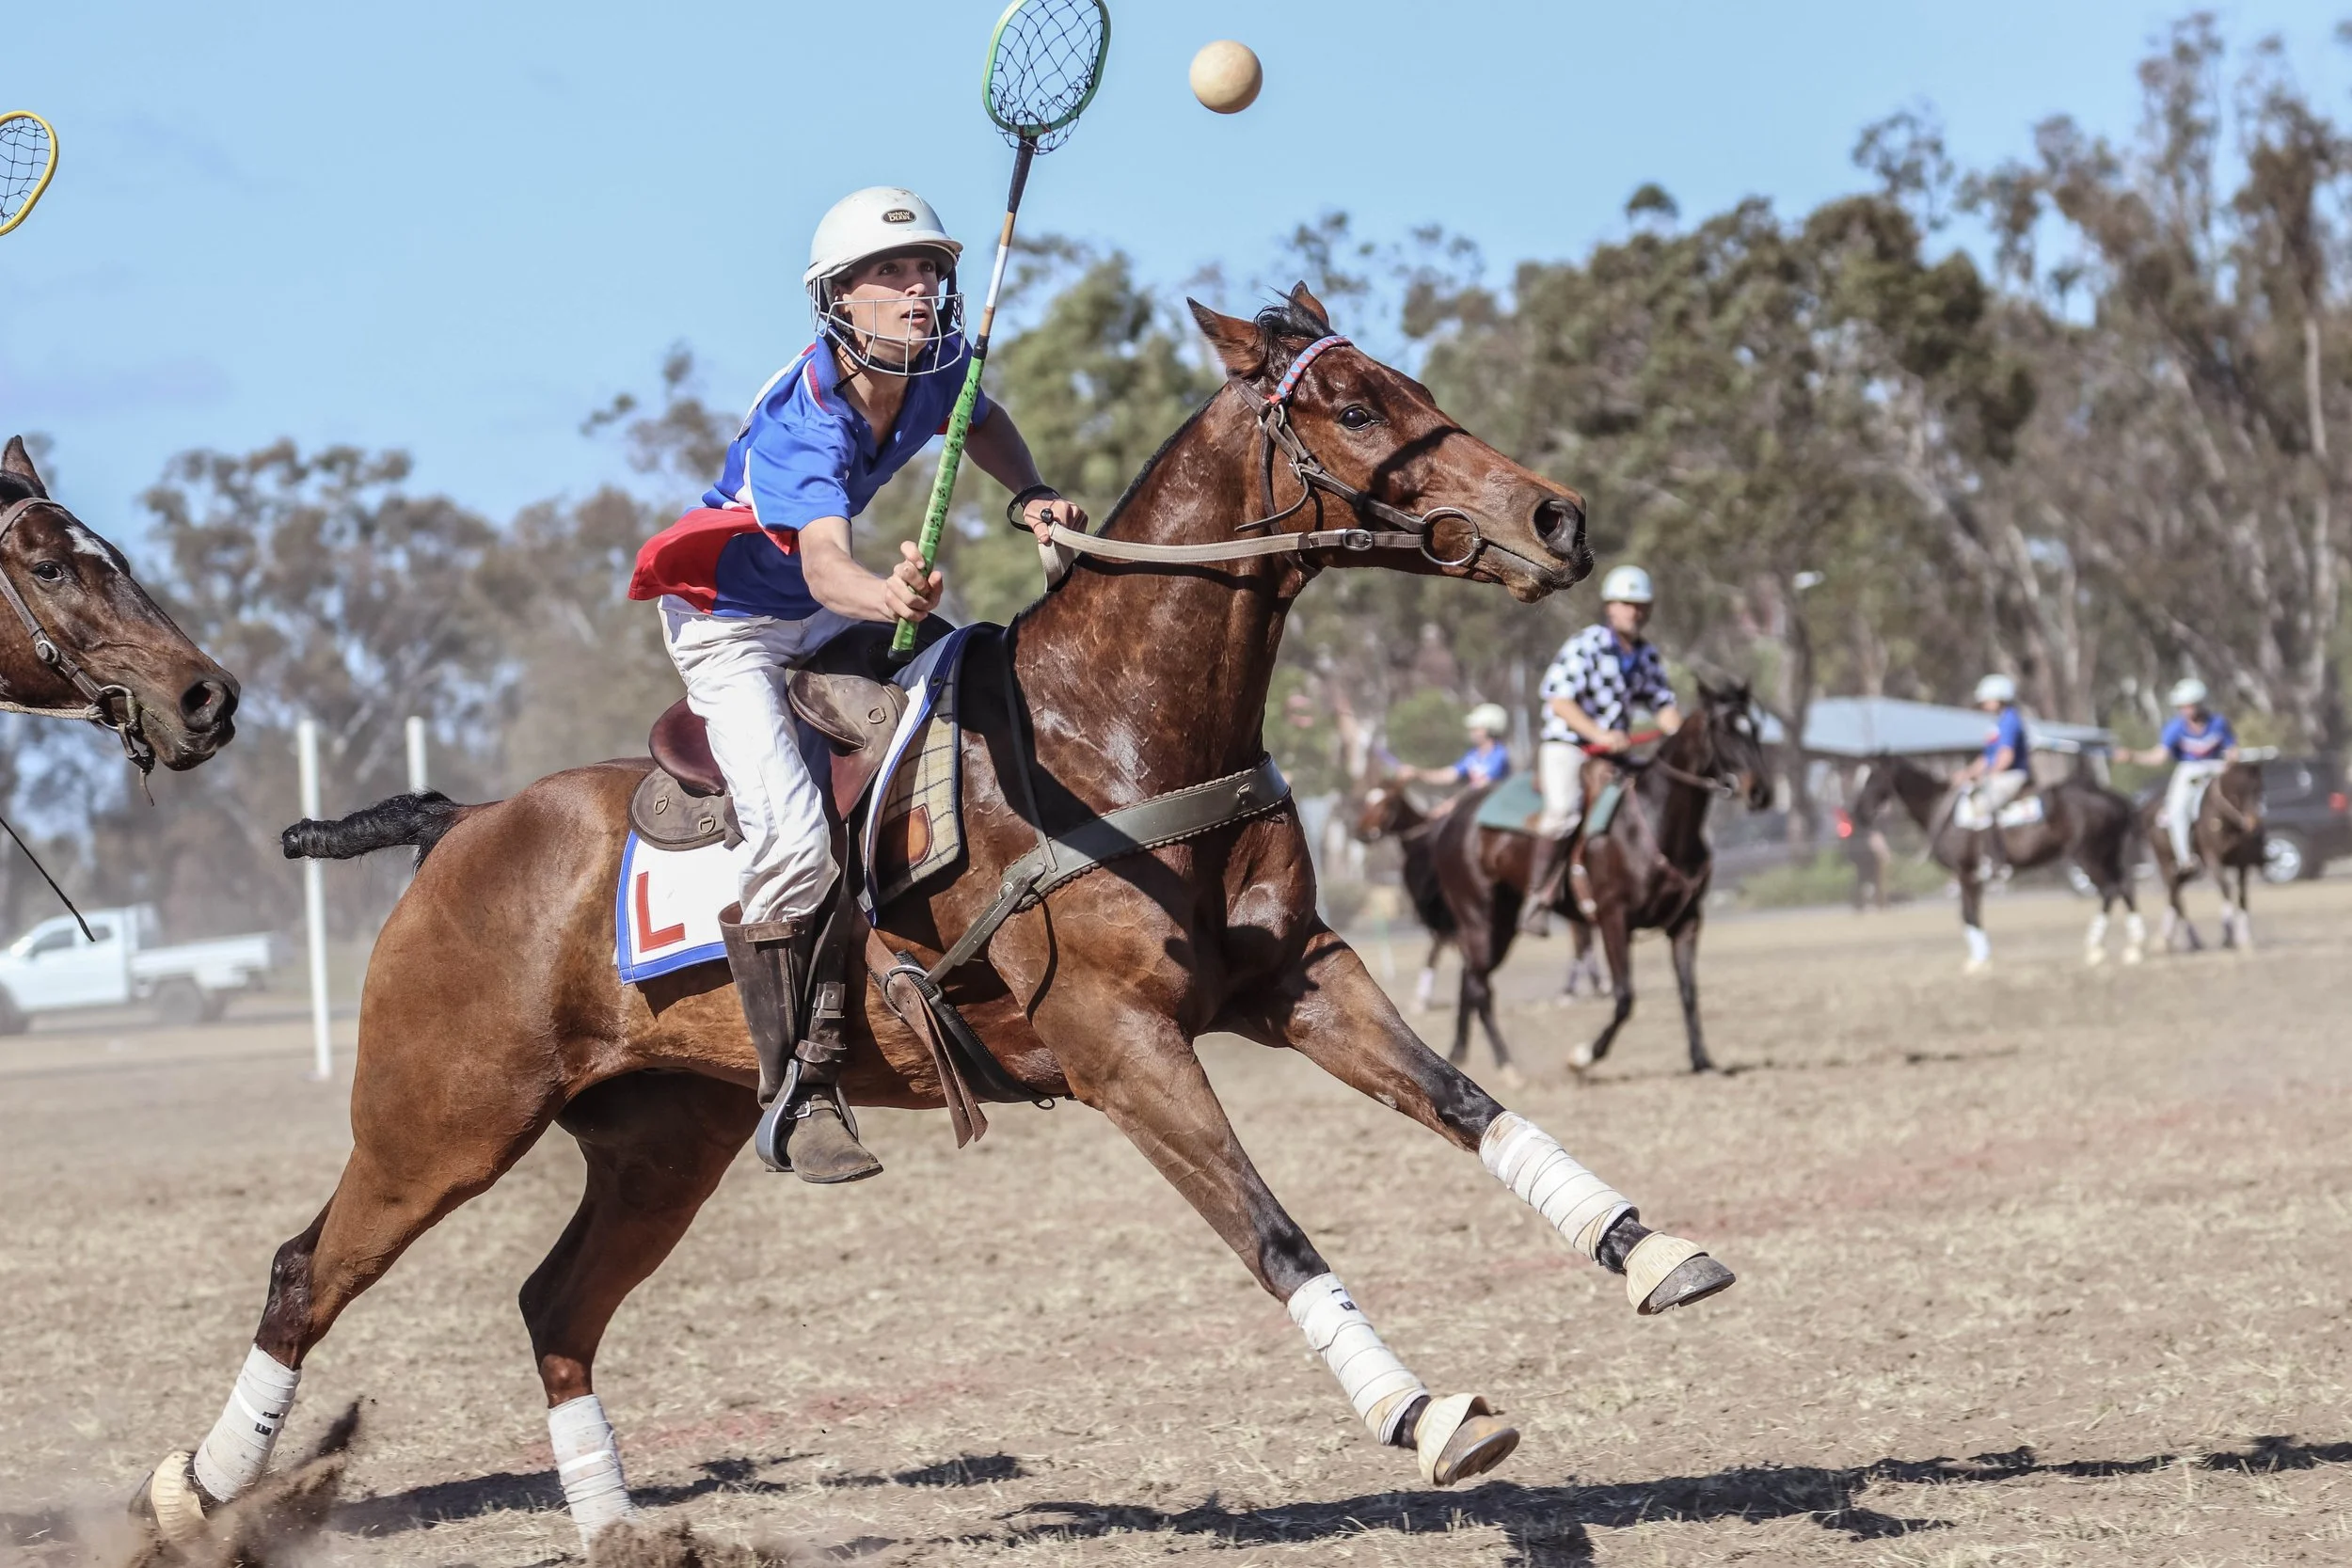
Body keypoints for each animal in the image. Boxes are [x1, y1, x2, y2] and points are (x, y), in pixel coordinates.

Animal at [132, 290, 1742, 1553]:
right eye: (1355, 404)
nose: (1557, 516)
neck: (1111, 730)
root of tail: (459, 822)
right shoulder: (1120, 1040)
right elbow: (1271, 1226)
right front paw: (1425, 1407)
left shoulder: (1296, 976)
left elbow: (1468, 1098)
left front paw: (1651, 1247)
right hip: (441, 1118)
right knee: (306, 1274)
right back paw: (193, 1488)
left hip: (664, 1137)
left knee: (554, 1304)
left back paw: (622, 1529)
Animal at [1545, 682, 1771, 1075]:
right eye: (1726, 731)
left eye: (1755, 728)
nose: (1761, 792)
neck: (1653, 827)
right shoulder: (1613, 917)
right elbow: (1624, 997)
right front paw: (1585, 1054)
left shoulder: (1687, 920)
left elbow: (1688, 991)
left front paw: (1701, 1059)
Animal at [1853, 754, 2144, 972]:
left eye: (1873, 777)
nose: (1858, 814)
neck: (1943, 812)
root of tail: (2113, 797)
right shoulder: (1972, 877)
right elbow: (1971, 914)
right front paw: (1980, 956)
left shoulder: (1966, 873)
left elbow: (1968, 914)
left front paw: (1979, 960)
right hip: (2107, 856)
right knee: (2125, 887)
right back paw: (2134, 947)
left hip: (2088, 856)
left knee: (2110, 890)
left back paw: (2095, 947)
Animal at [2139, 760, 2264, 951]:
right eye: (2238, 792)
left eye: (2259, 789)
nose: (2254, 824)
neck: (2223, 821)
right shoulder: (2213, 858)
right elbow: (2226, 888)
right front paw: (2228, 936)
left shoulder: (2242, 862)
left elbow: (2243, 894)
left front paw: (2245, 938)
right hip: (2165, 862)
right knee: (2175, 894)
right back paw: (2177, 939)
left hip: (2190, 869)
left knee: (2175, 892)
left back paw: (2176, 938)